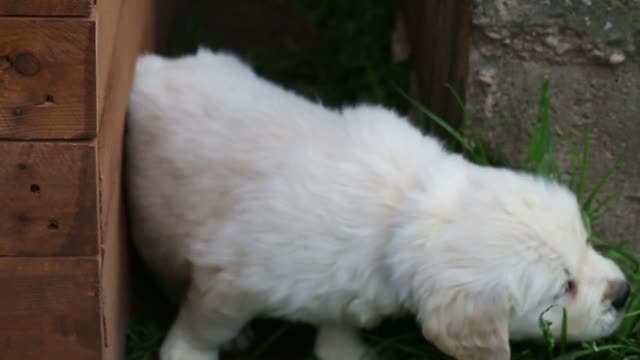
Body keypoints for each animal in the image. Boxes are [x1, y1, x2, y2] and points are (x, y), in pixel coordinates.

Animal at [126, 50, 632, 360]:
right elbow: (206, 323)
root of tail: (150, 69)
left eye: (586, 242)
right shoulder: (230, 280)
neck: (404, 211)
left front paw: (347, 351)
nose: (626, 293)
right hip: (156, 230)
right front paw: (188, 352)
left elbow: (338, 325)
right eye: (563, 288)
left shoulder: (340, 292)